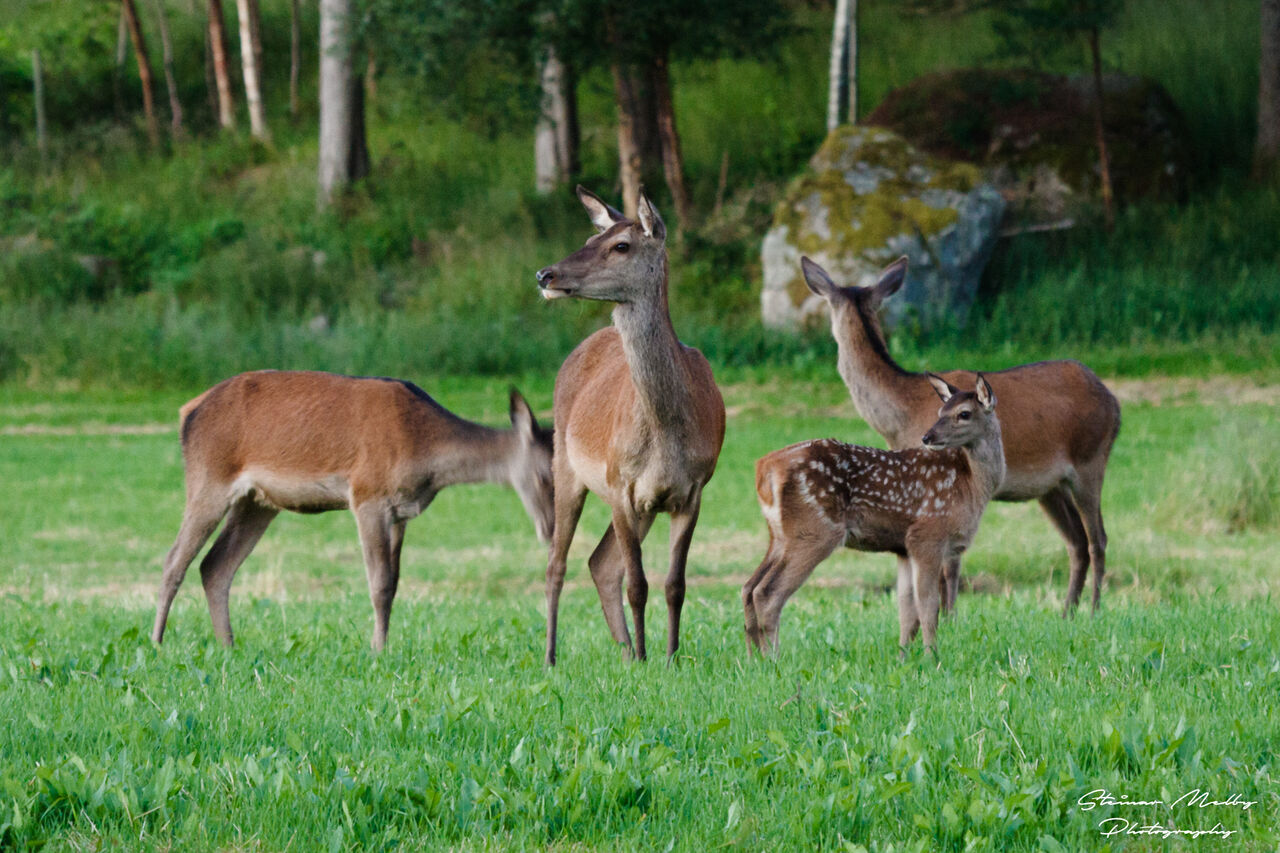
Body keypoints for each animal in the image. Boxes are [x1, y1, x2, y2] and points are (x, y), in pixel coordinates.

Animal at [148, 368, 550, 648]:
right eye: (546, 474)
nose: (550, 530)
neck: (425, 454)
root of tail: (187, 411)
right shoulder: (368, 494)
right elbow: (379, 583)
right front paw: (378, 649)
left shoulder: (402, 512)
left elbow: (395, 582)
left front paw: (382, 643)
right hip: (208, 478)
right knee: (174, 561)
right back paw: (156, 642)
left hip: (257, 502)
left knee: (214, 565)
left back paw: (228, 645)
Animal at [532, 184, 732, 666]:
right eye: (590, 239)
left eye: (621, 245)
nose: (545, 274)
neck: (666, 433)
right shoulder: (619, 483)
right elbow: (638, 583)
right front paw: (646, 659)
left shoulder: (692, 490)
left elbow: (675, 585)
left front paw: (670, 656)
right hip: (567, 466)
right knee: (557, 563)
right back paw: (552, 656)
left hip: (639, 504)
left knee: (600, 562)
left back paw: (622, 648)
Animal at [747, 368, 1003, 653]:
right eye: (940, 411)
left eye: (964, 413)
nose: (927, 437)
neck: (970, 485)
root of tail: (765, 467)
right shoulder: (927, 535)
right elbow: (928, 606)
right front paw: (932, 655)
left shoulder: (903, 547)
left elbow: (907, 610)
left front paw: (904, 656)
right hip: (814, 530)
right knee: (767, 593)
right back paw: (773, 658)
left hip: (780, 535)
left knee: (749, 587)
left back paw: (752, 658)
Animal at [803, 256, 1126, 614]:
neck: (900, 415)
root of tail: (1113, 402)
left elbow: (946, 568)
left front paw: (947, 616)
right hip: (1050, 486)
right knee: (1077, 541)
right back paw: (1067, 611)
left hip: (1090, 459)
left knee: (1098, 538)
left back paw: (1094, 610)